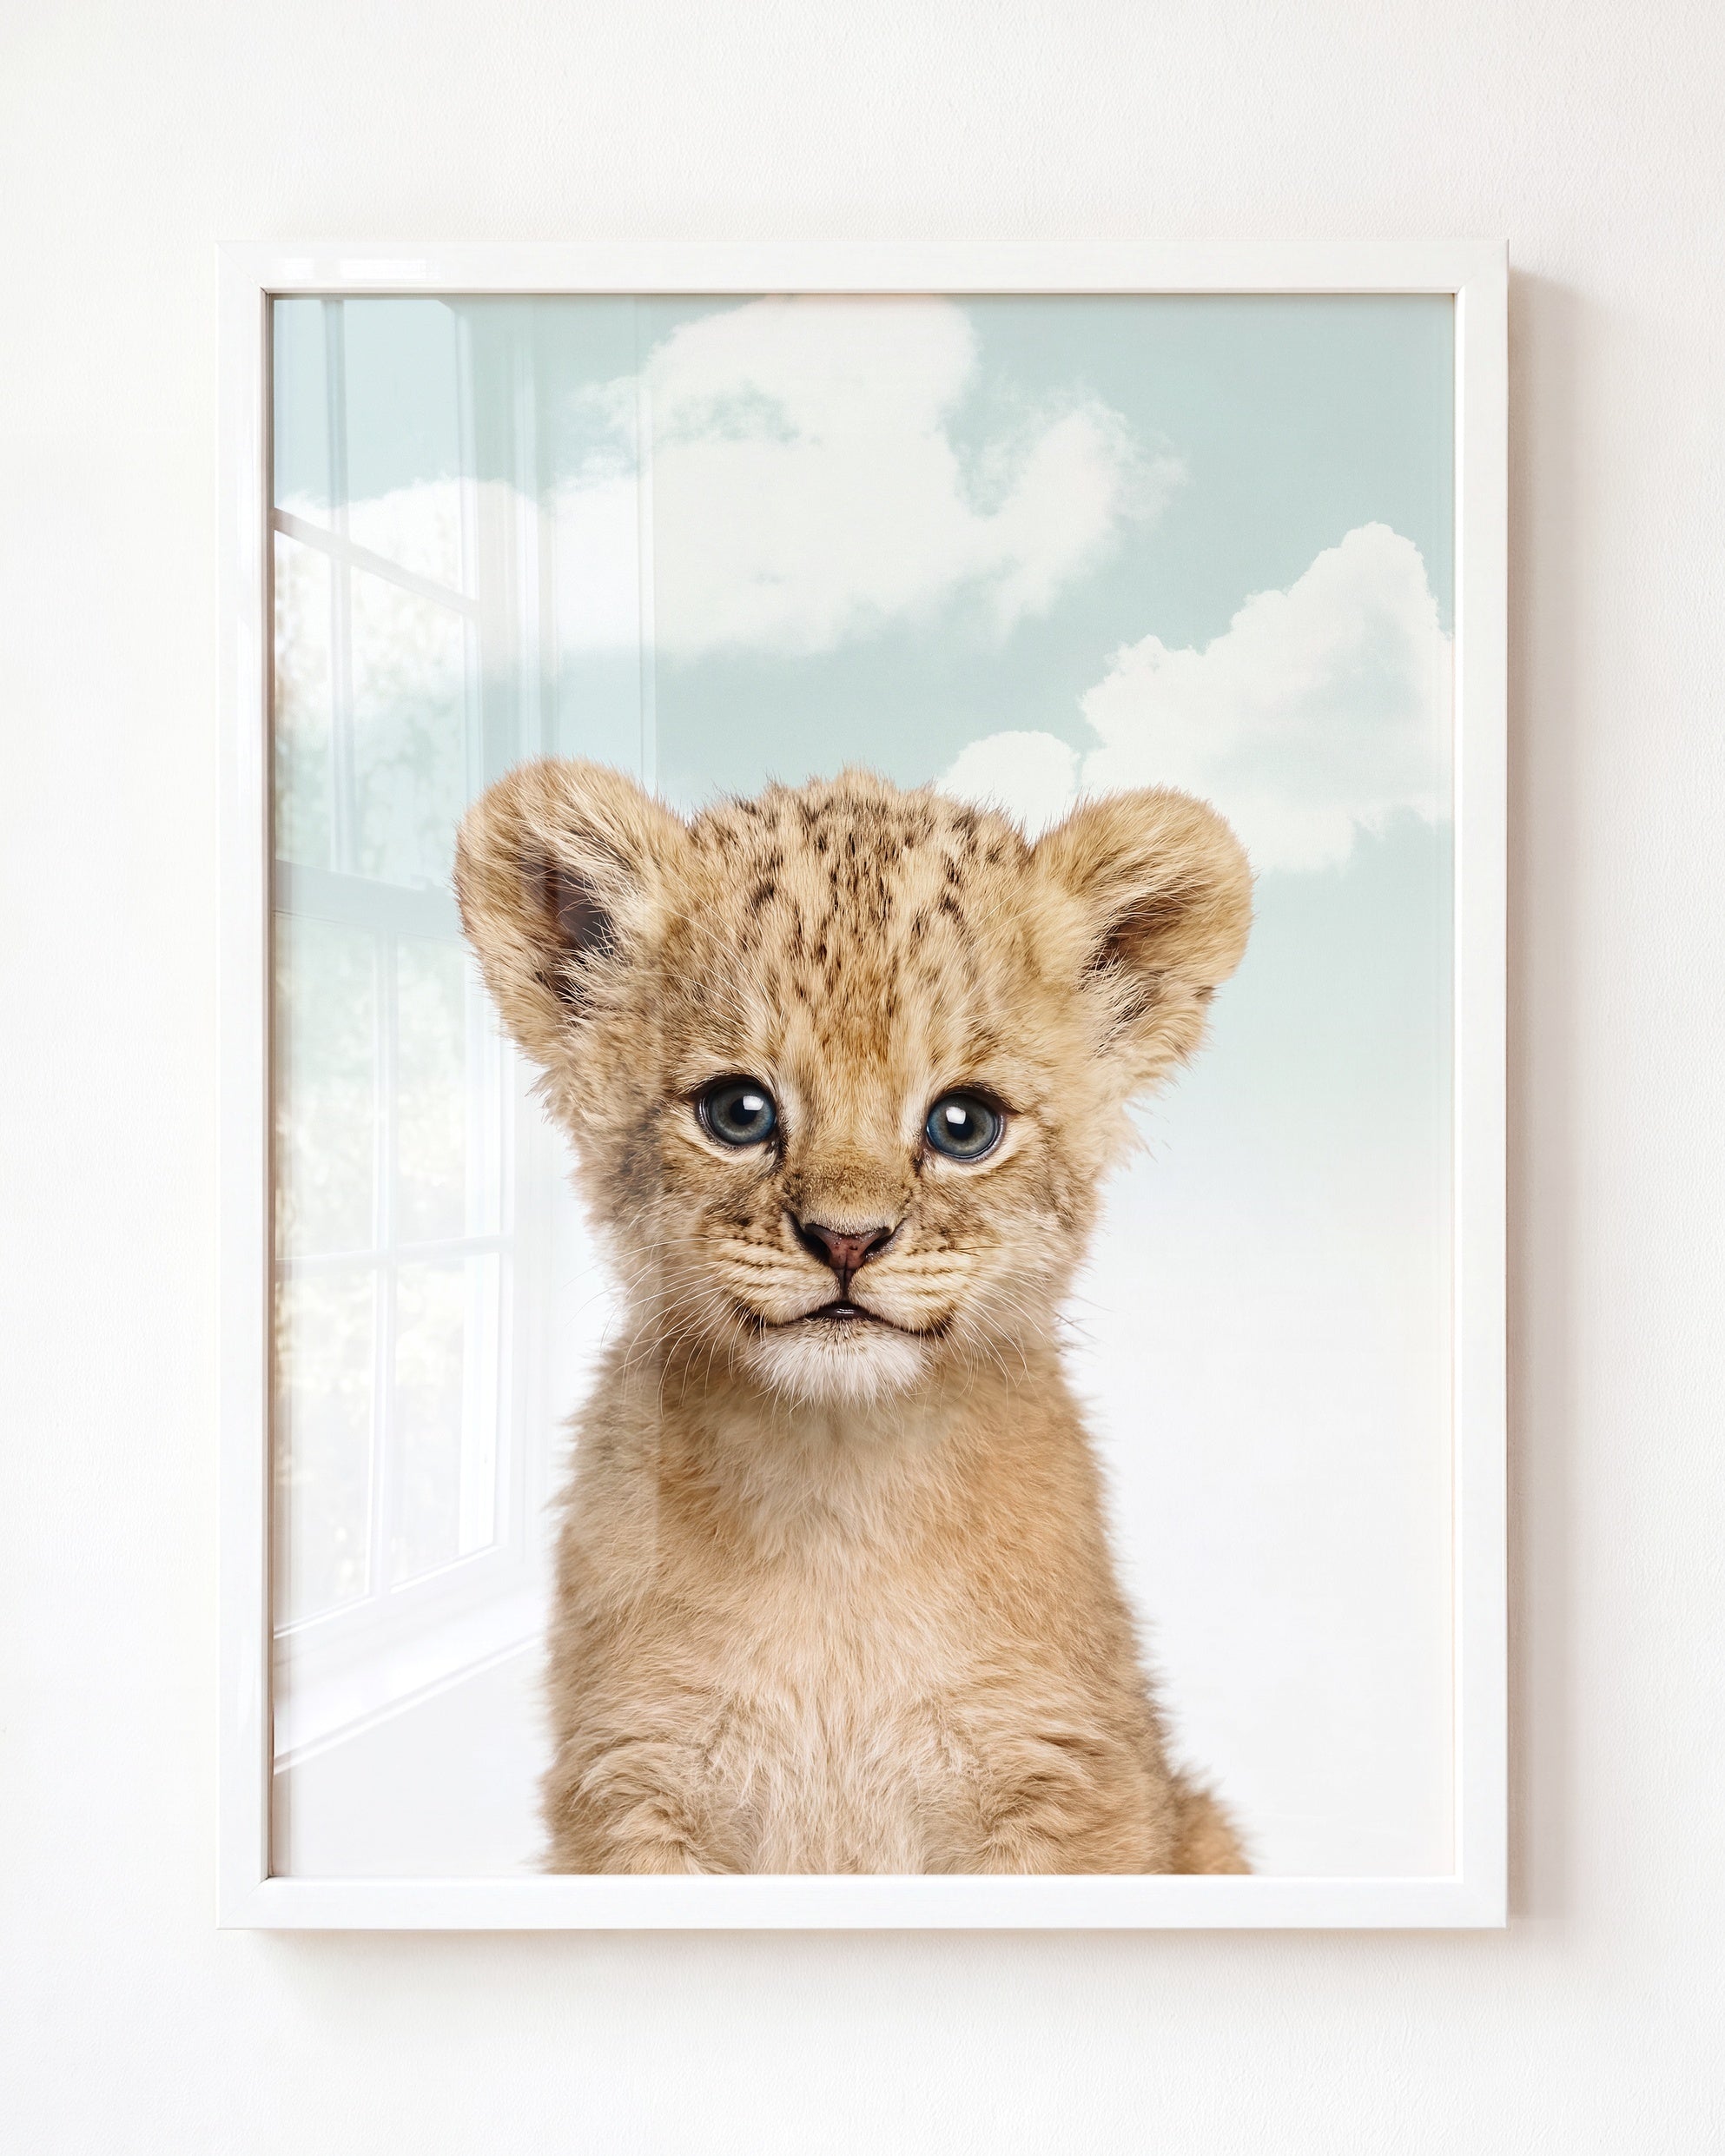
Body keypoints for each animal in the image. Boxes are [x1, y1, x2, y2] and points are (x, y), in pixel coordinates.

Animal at [455, 760, 1252, 1874]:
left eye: (964, 1125)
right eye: (738, 1112)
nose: (846, 1240)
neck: (836, 1500)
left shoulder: (1068, 1779)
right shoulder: (633, 1783)